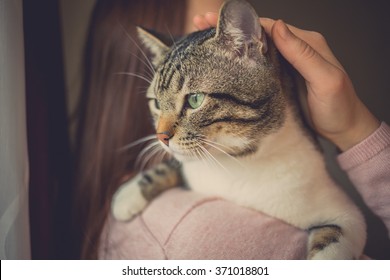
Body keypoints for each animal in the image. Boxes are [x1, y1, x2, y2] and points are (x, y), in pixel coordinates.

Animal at [112, 0, 366, 260]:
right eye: (156, 103)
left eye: (194, 99)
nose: (161, 137)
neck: (235, 163)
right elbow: (177, 165)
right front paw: (128, 195)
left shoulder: (344, 213)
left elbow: (331, 244)